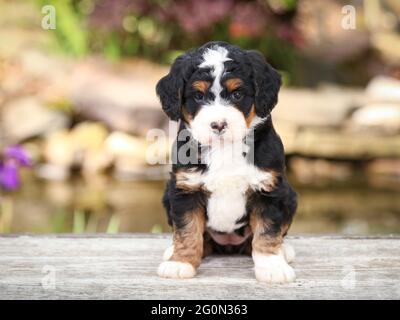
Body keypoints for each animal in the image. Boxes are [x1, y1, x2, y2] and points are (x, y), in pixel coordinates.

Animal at [156, 41, 296, 284]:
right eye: (199, 96)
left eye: (237, 94)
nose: (219, 124)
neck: (224, 148)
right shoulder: (186, 189)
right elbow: (187, 230)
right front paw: (180, 262)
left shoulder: (268, 189)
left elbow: (267, 231)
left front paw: (272, 266)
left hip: (289, 196)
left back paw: (284, 251)